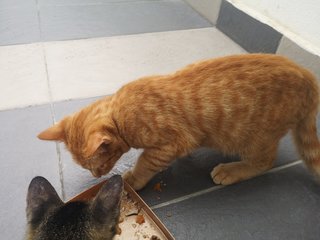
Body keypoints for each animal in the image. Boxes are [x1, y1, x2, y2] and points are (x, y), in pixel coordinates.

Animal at [38, 54, 320, 189]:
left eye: (97, 165)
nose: (97, 175)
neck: (120, 112)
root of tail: (308, 77)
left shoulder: (170, 144)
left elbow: (145, 162)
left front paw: (133, 179)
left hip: (256, 138)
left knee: (265, 162)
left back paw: (233, 170)